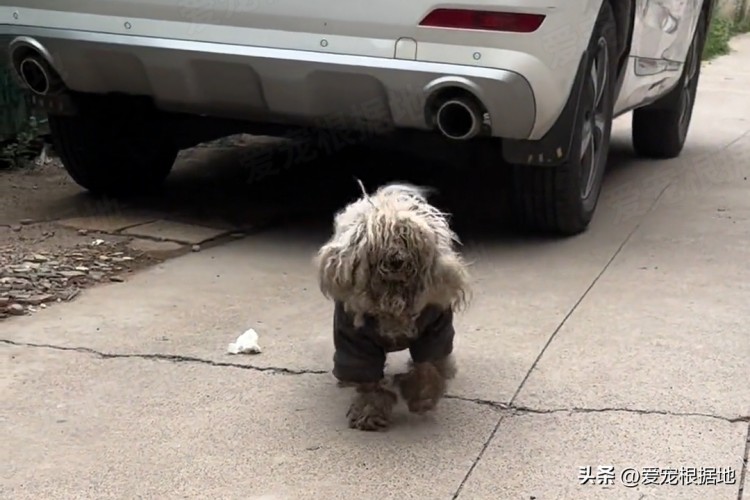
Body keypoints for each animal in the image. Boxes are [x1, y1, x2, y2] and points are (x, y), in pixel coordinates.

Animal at [316, 180, 470, 430]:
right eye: (378, 244)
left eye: (406, 238)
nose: (396, 259)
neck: (394, 297)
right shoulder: (355, 341)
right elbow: (368, 379)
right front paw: (369, 412)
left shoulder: (434, 332)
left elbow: (427, 366)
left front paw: (422, 396)